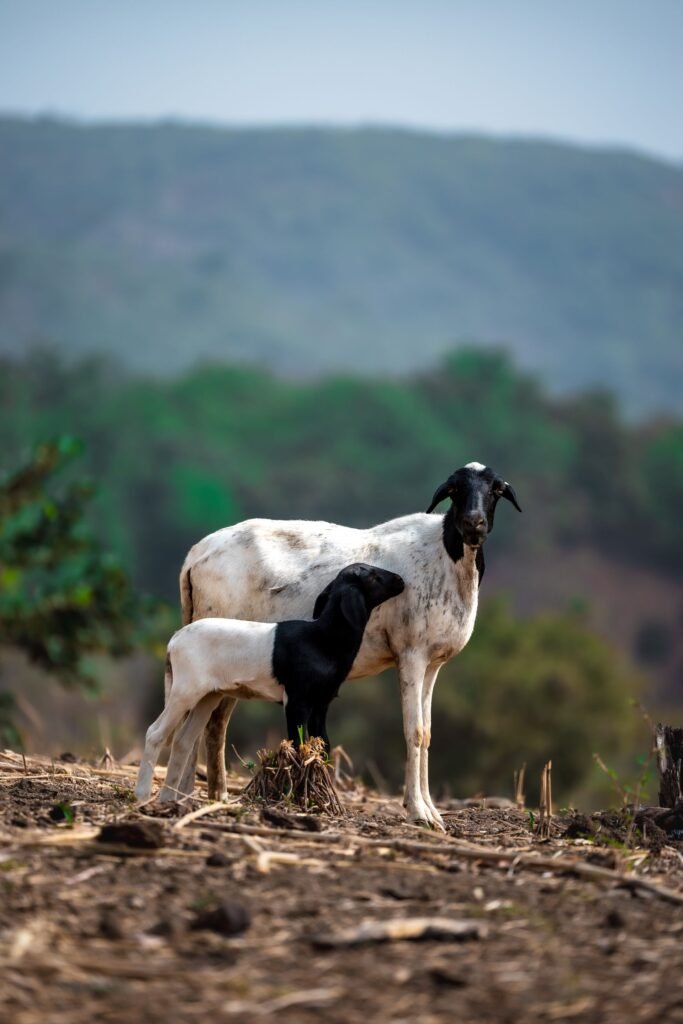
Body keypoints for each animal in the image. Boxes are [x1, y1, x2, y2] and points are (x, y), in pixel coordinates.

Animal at [135, 563, 405, 802]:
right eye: (372, 577)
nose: (401, 580)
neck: (322, 638)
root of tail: (174, 641)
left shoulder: (321, 703)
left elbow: (324, 745)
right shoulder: (296, 701)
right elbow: (298, 743)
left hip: (208, 696)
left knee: (183, 741)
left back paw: (169, 799)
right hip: (184, 690)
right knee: (155, 733)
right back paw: (142, 796)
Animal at [171, 462, 521, 828]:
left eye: (495, 489)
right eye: (454, 489)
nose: (473, 523)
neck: (446, 557)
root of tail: (195, 557)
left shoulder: (433, 663)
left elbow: (426, 733)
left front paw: (431, 811)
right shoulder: (411, 654)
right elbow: (413, 731)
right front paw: (418, 812)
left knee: (208, 721)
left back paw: (202, 795)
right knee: (205, 721)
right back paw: (194, 795)